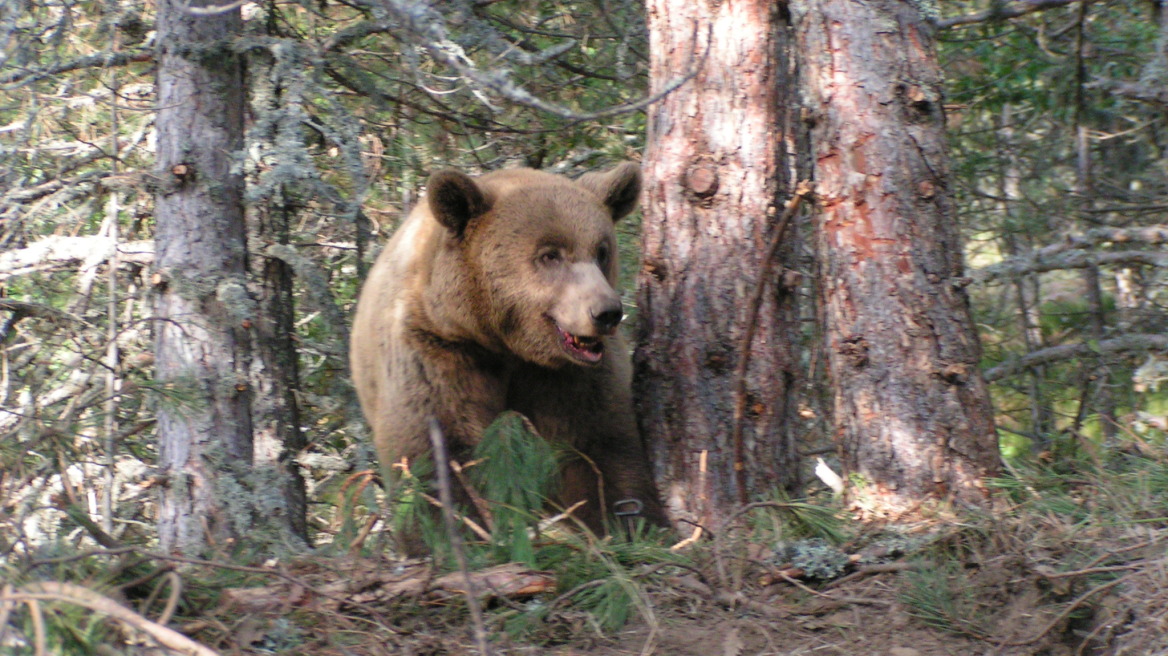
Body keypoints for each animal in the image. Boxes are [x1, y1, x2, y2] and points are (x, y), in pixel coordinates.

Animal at [348, 161, 668, 543]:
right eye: (550, 254)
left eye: (602, 251)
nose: (606, 312)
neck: (504, 347)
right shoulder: (436, 354)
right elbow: (439, 454)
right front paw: (456, 534)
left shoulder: (567, 377)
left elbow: (600, 444)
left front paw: (632, 525)